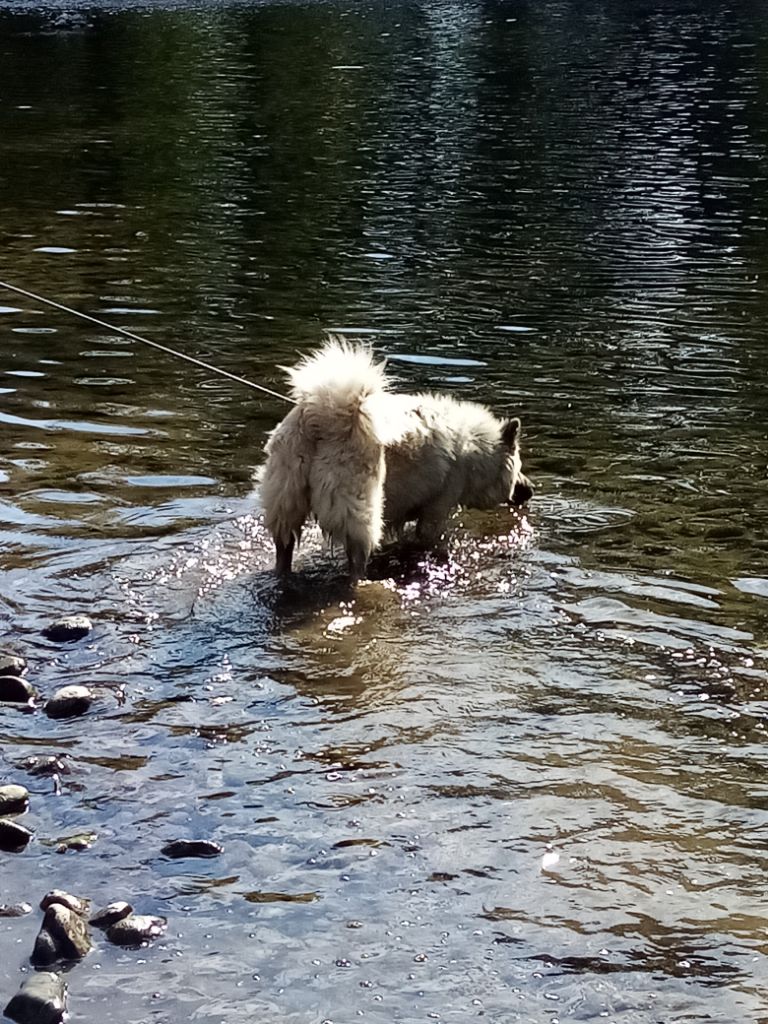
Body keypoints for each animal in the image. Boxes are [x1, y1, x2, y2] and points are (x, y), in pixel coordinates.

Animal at [262, 335, 532, 577]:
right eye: (518, 467)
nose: (530, 489)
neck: (474, 450)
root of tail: (323, 419)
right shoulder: (438, 507)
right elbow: (431, 539)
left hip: (285, 502)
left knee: (284, 549)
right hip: (359, 510)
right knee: (357, 558)